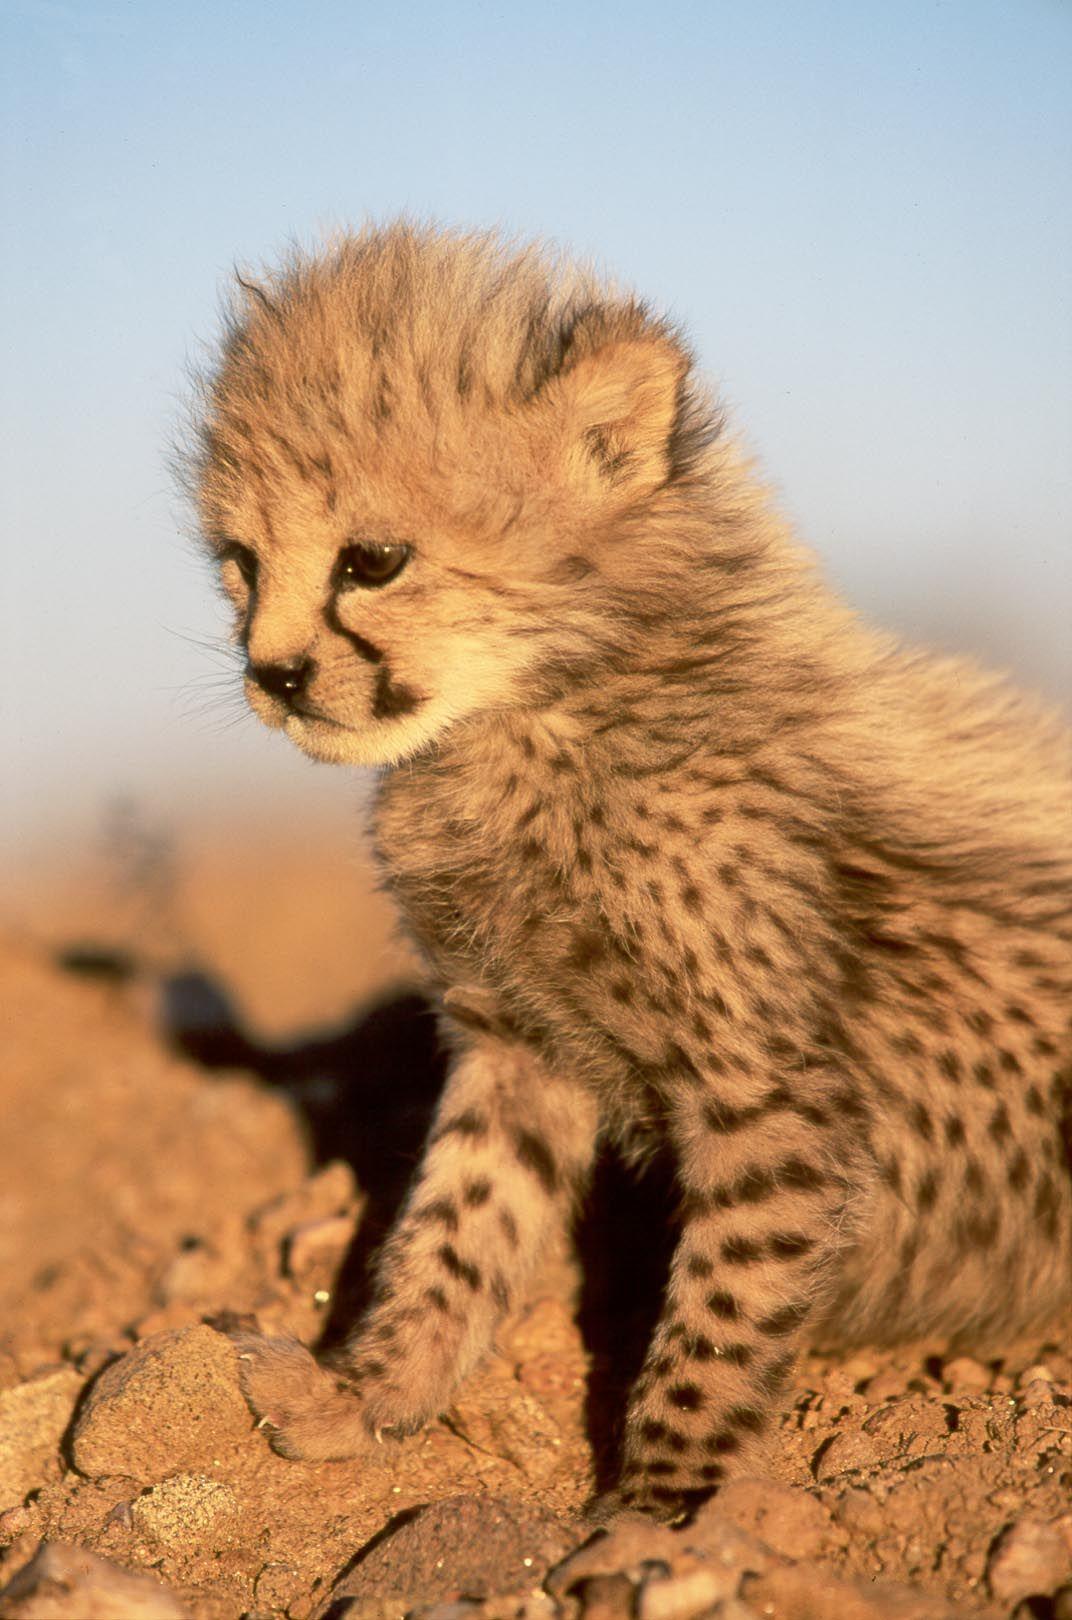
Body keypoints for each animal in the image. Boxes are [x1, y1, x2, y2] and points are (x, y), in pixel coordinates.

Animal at [187, 220, 1072, 1520]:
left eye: (374, 560)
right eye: (241, 563)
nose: (274, 674)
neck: (538, 712)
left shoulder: (776, 1101)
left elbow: (719, 1313)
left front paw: (661, 1513)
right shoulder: (515, 1046)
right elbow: (457, 1228)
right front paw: (367, 1396)